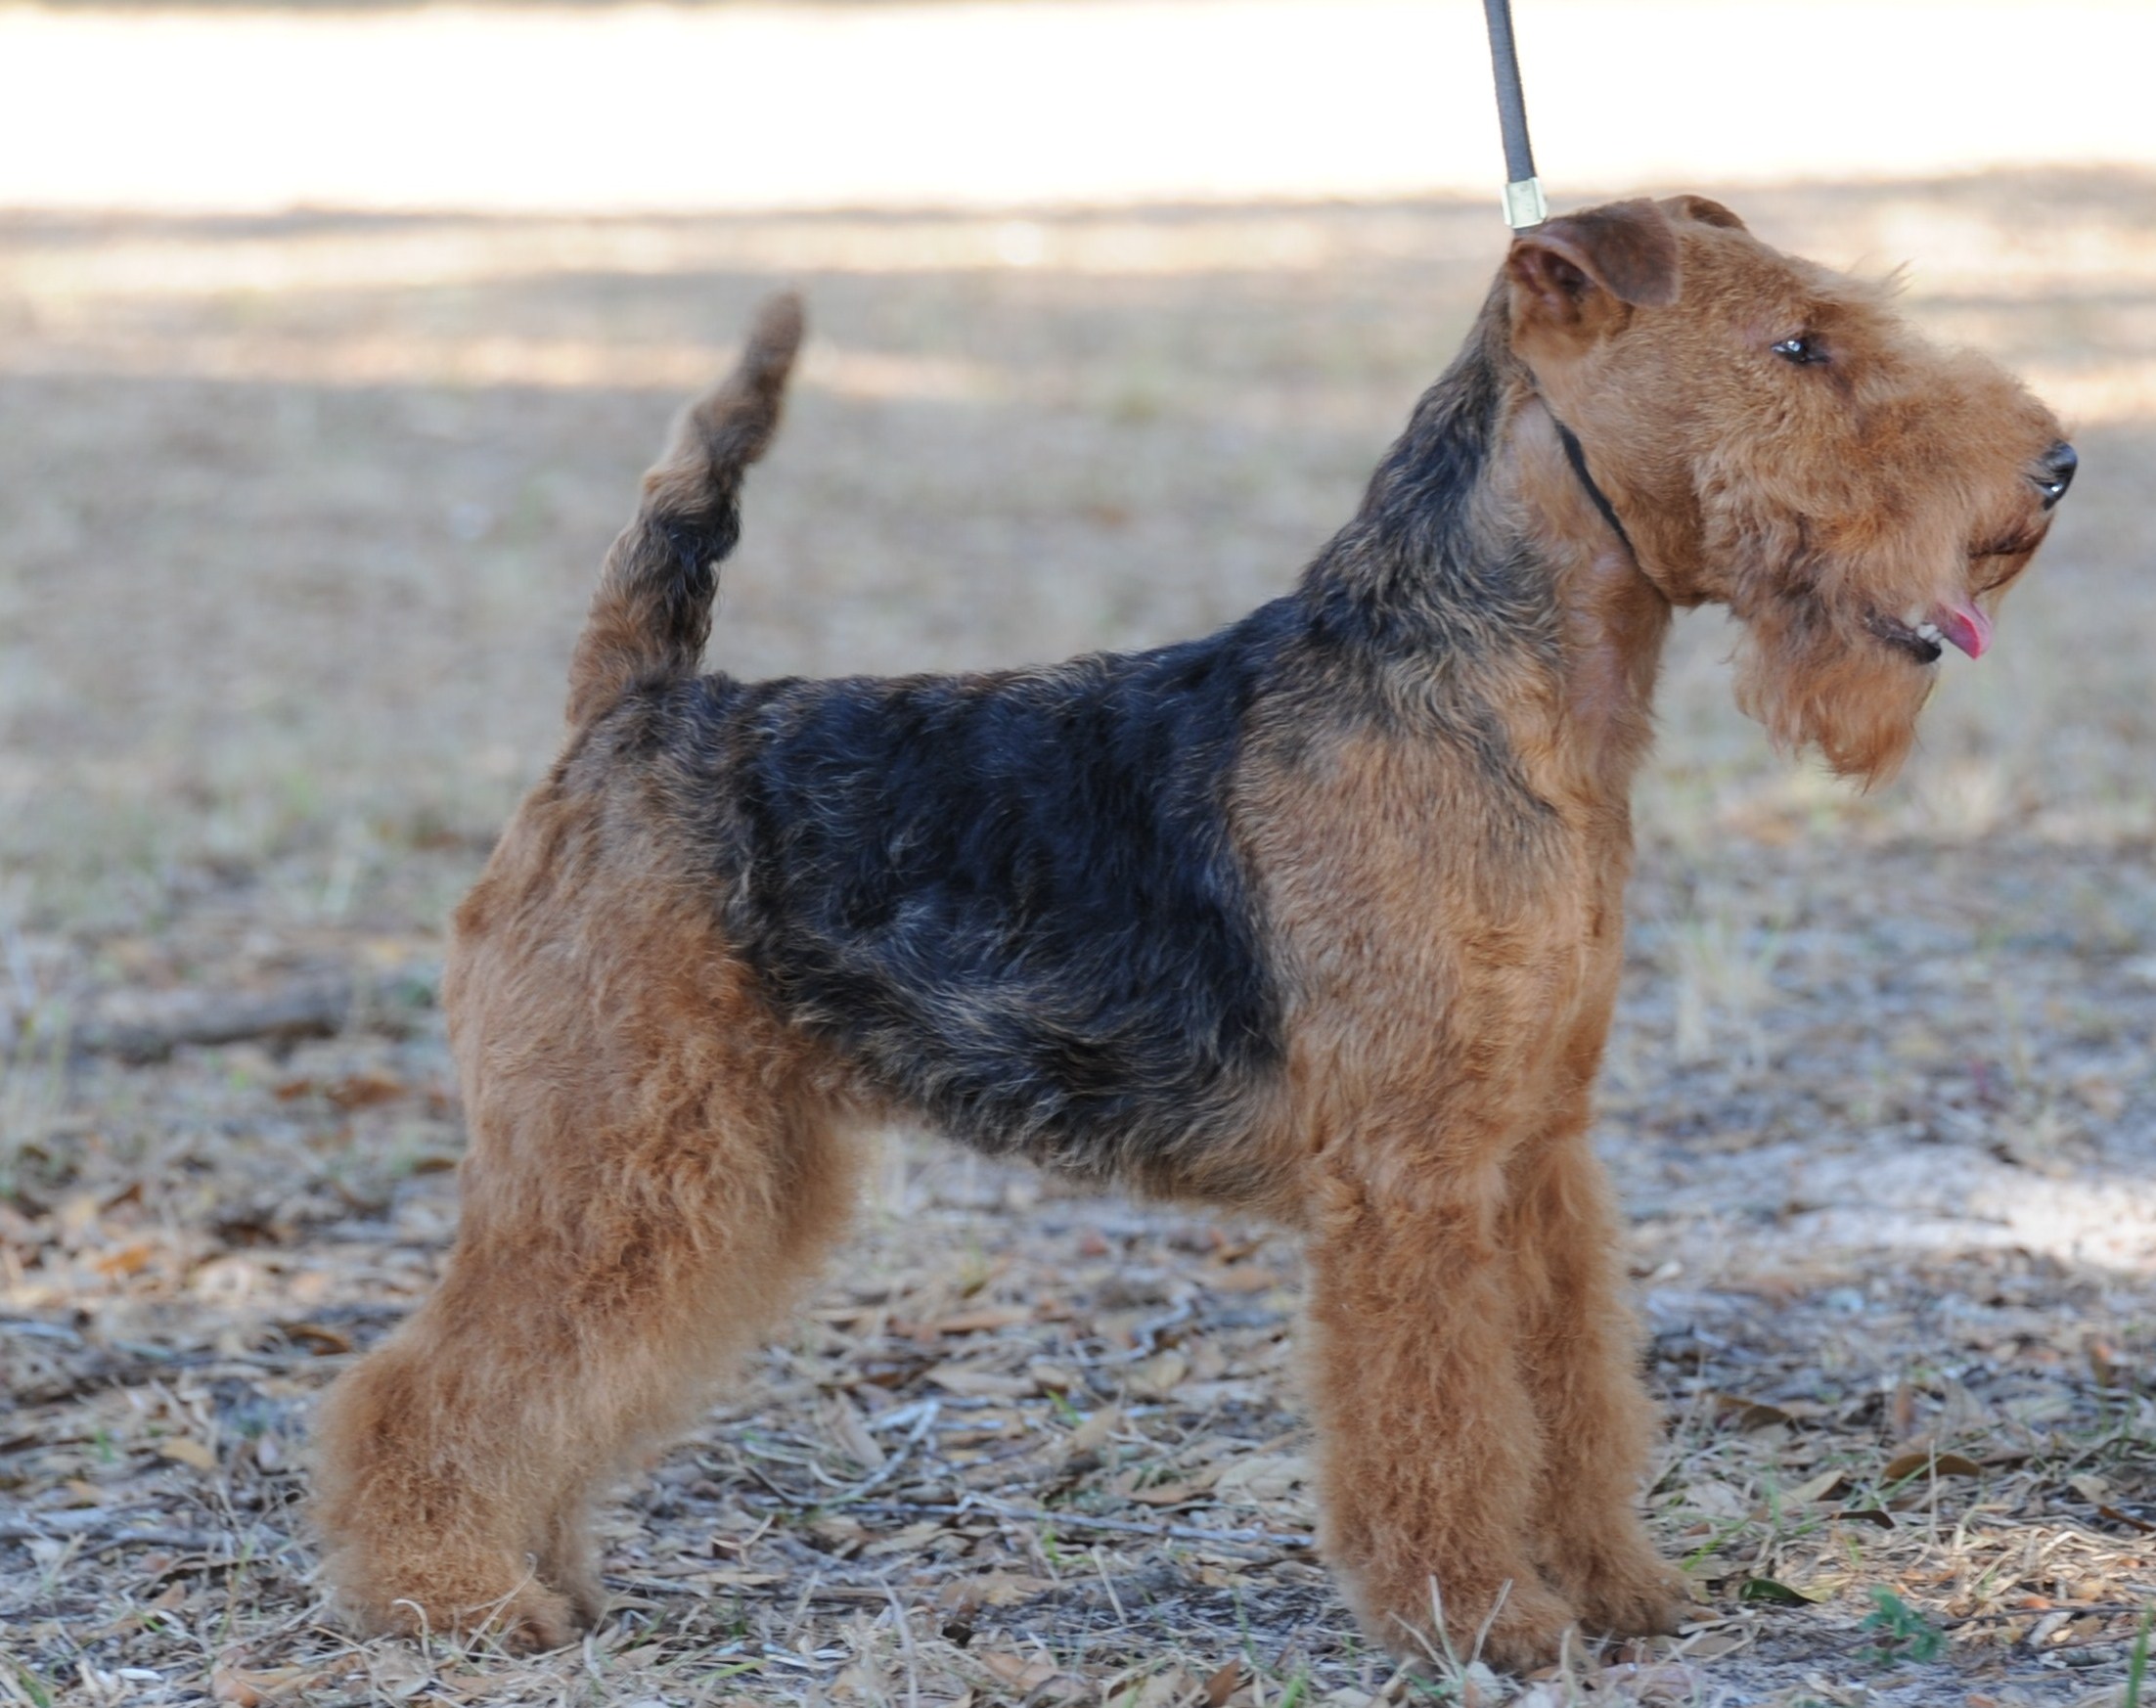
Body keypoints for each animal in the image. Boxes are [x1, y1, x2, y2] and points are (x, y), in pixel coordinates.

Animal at [308, 190, 2069, 1664]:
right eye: (1799, 345)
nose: (2052, 470)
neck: (1502, 699)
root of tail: (630, 702)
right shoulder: (1413, 1173)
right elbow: (1439, 1416)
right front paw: (1481, 1616)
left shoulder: (1535, 1150)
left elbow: (1568, 1392)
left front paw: (1615, 1588)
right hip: (613, 1151)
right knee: (416, 1384)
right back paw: (452, 1595)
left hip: (717, 1164)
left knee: (549, 1381)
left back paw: (544, 1569)